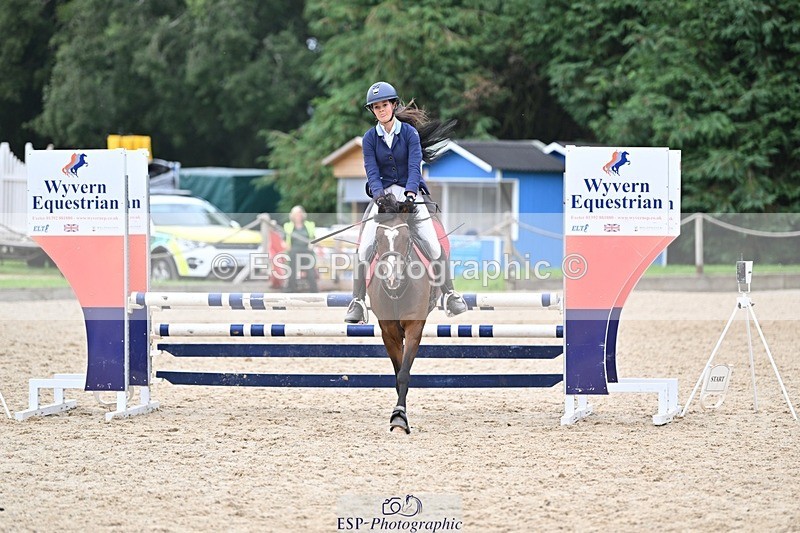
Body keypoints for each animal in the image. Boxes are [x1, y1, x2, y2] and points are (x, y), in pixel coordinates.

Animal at [367, 194, 441, 434]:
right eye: (378, 238)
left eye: (407, 238)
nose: (392, 279)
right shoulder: (389, 332)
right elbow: (397, 371)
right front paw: (399, 414)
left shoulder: (414, 327)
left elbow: (404, 373)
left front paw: (399, 417)